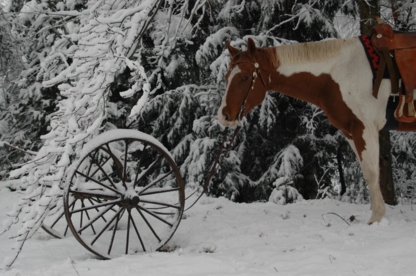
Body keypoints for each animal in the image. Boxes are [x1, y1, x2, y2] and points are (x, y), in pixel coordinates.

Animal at [216, 37, 416, 225]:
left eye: (244, 77)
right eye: (226, 76)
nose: (224, 115)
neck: (341, 73)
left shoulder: (365, 128)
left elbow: (371, 173)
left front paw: (376, 218)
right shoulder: (351, 132)